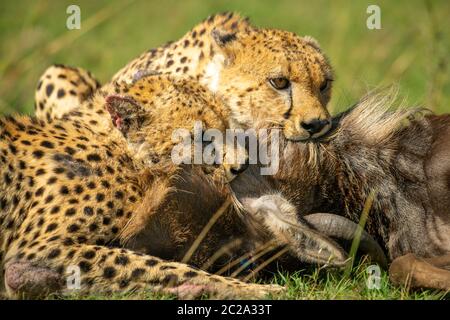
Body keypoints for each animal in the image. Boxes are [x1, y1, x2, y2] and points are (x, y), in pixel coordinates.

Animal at [0, 75, 284, 300]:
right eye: (203, 137)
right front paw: (255, 290)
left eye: (228, 126)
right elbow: (161, 267)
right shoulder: (33, 251)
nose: (242, 165)